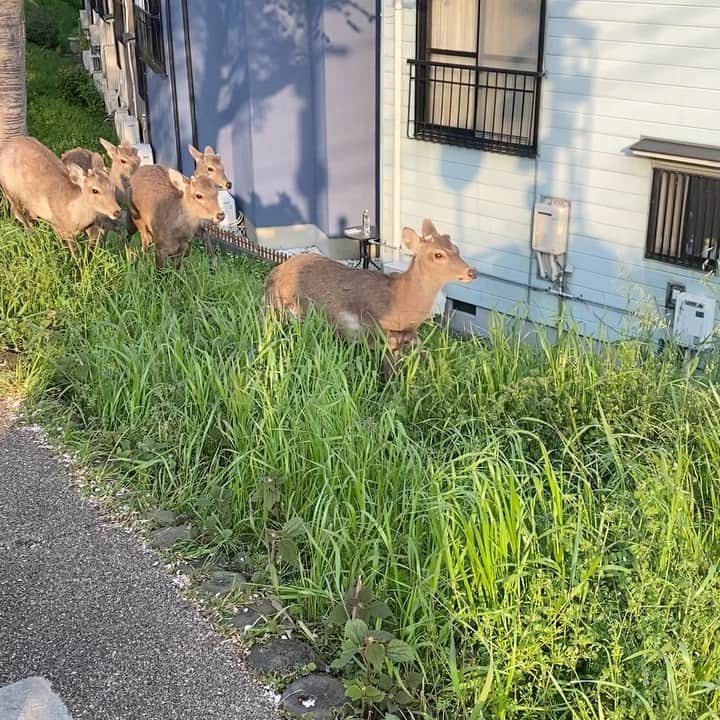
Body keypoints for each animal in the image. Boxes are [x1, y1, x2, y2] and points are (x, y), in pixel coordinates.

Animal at [264, 219, 478, 373]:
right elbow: (392, 372)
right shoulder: (381, 332)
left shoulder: (409, 334)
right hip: (284, 311)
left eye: (457, 249)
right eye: (438, 255)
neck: (401, 299)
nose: (472, 272)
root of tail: (274, 275)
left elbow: (425, 353)